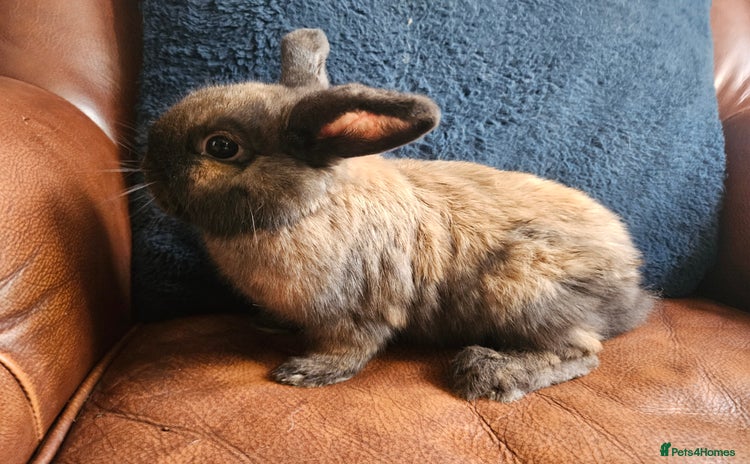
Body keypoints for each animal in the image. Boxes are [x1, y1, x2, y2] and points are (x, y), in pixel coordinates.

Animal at [142, 28, 654, 402]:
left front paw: (305, 372)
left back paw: (489, 372)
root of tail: (631, 283)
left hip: (523, 289)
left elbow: (352, 348)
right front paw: (273, 326)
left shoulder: (358, 310)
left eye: (221, 147)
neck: (308, 208)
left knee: (582, 351)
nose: (148, 168)